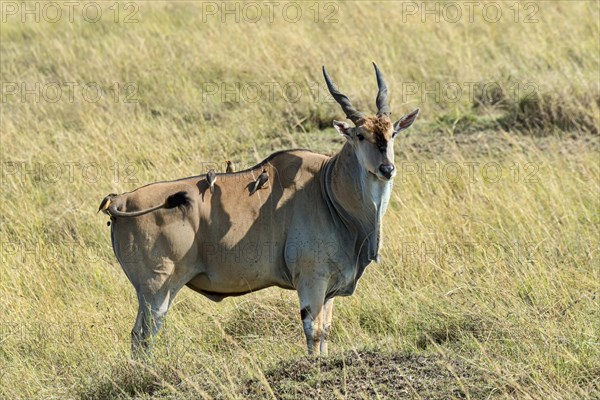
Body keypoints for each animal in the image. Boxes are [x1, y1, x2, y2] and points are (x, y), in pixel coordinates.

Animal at [99, 63, 418, 356]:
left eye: (392, 133)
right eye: (360, 136)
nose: (387, 169)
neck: (327, 188)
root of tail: (120, 202)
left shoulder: (329, 288)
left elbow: (325, 331)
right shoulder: (311, 280)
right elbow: (313, 332)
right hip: (157, 291)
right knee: (143, 336)